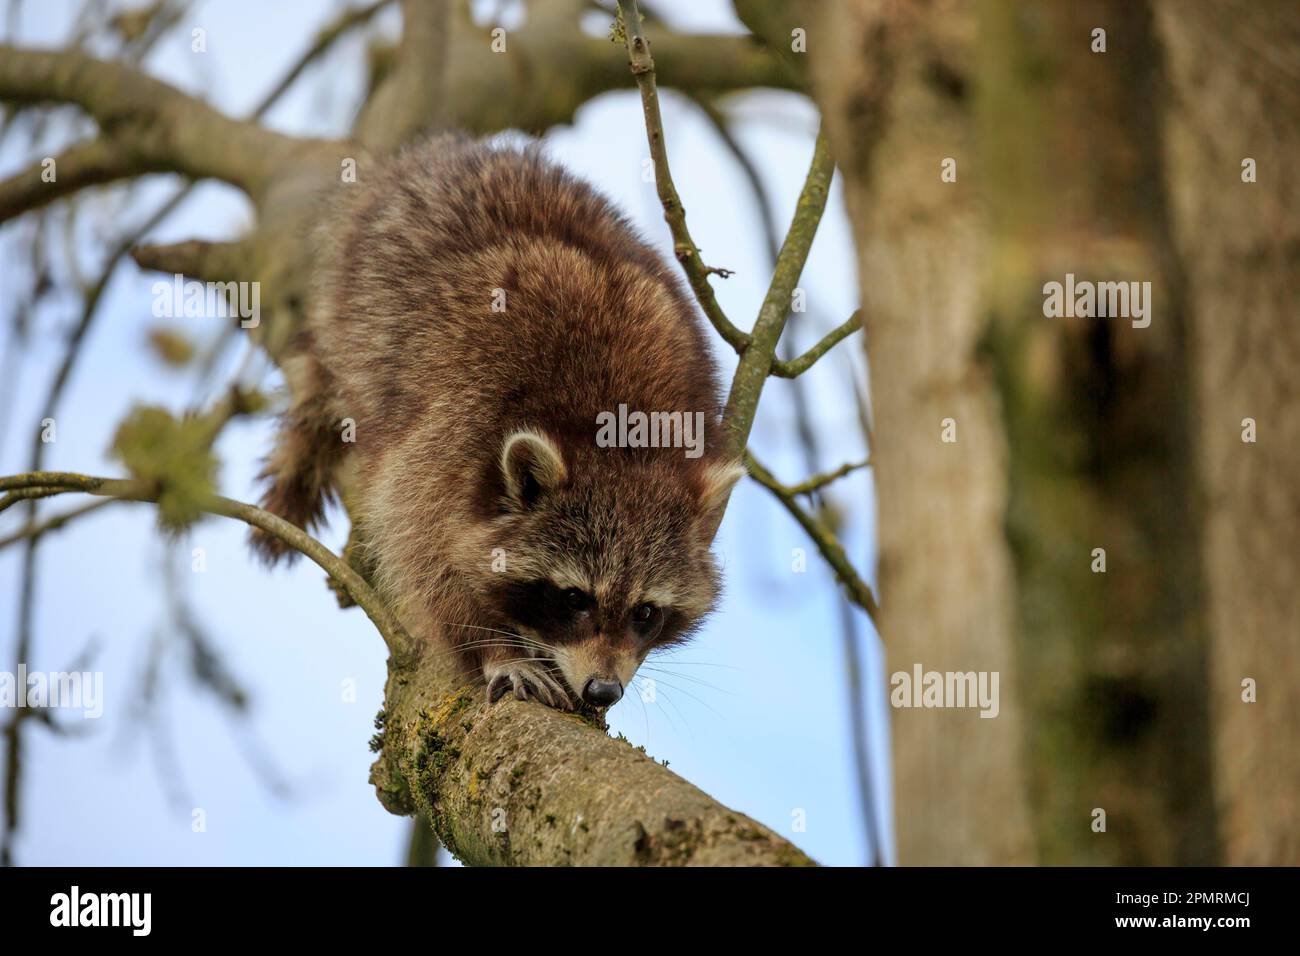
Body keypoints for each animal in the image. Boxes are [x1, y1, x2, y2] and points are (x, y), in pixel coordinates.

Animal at [253, 138, 743, 712]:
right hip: (357, 296)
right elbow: (420, 546)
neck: (619, 442)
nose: (603, 691)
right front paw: (492, 643)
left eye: (644, 611)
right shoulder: (455, 428)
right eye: (573, 598)